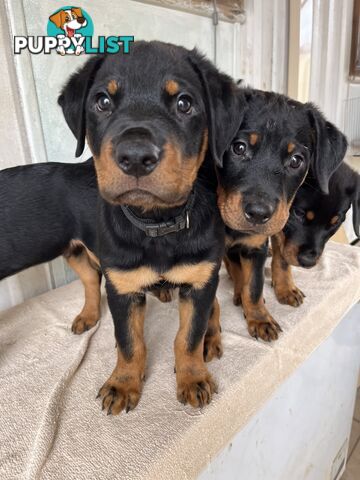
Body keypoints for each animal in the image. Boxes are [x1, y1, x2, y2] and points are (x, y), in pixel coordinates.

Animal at [58, 41, 242, 414]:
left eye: (184, 103)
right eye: (102, 101)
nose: (136, 157)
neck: (157, 224)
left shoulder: (200, 280)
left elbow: (188, 336)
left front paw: (192, 377)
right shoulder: (122, 286)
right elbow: (129, 341)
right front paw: (123, 383)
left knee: (213, 310)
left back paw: (211, 338)